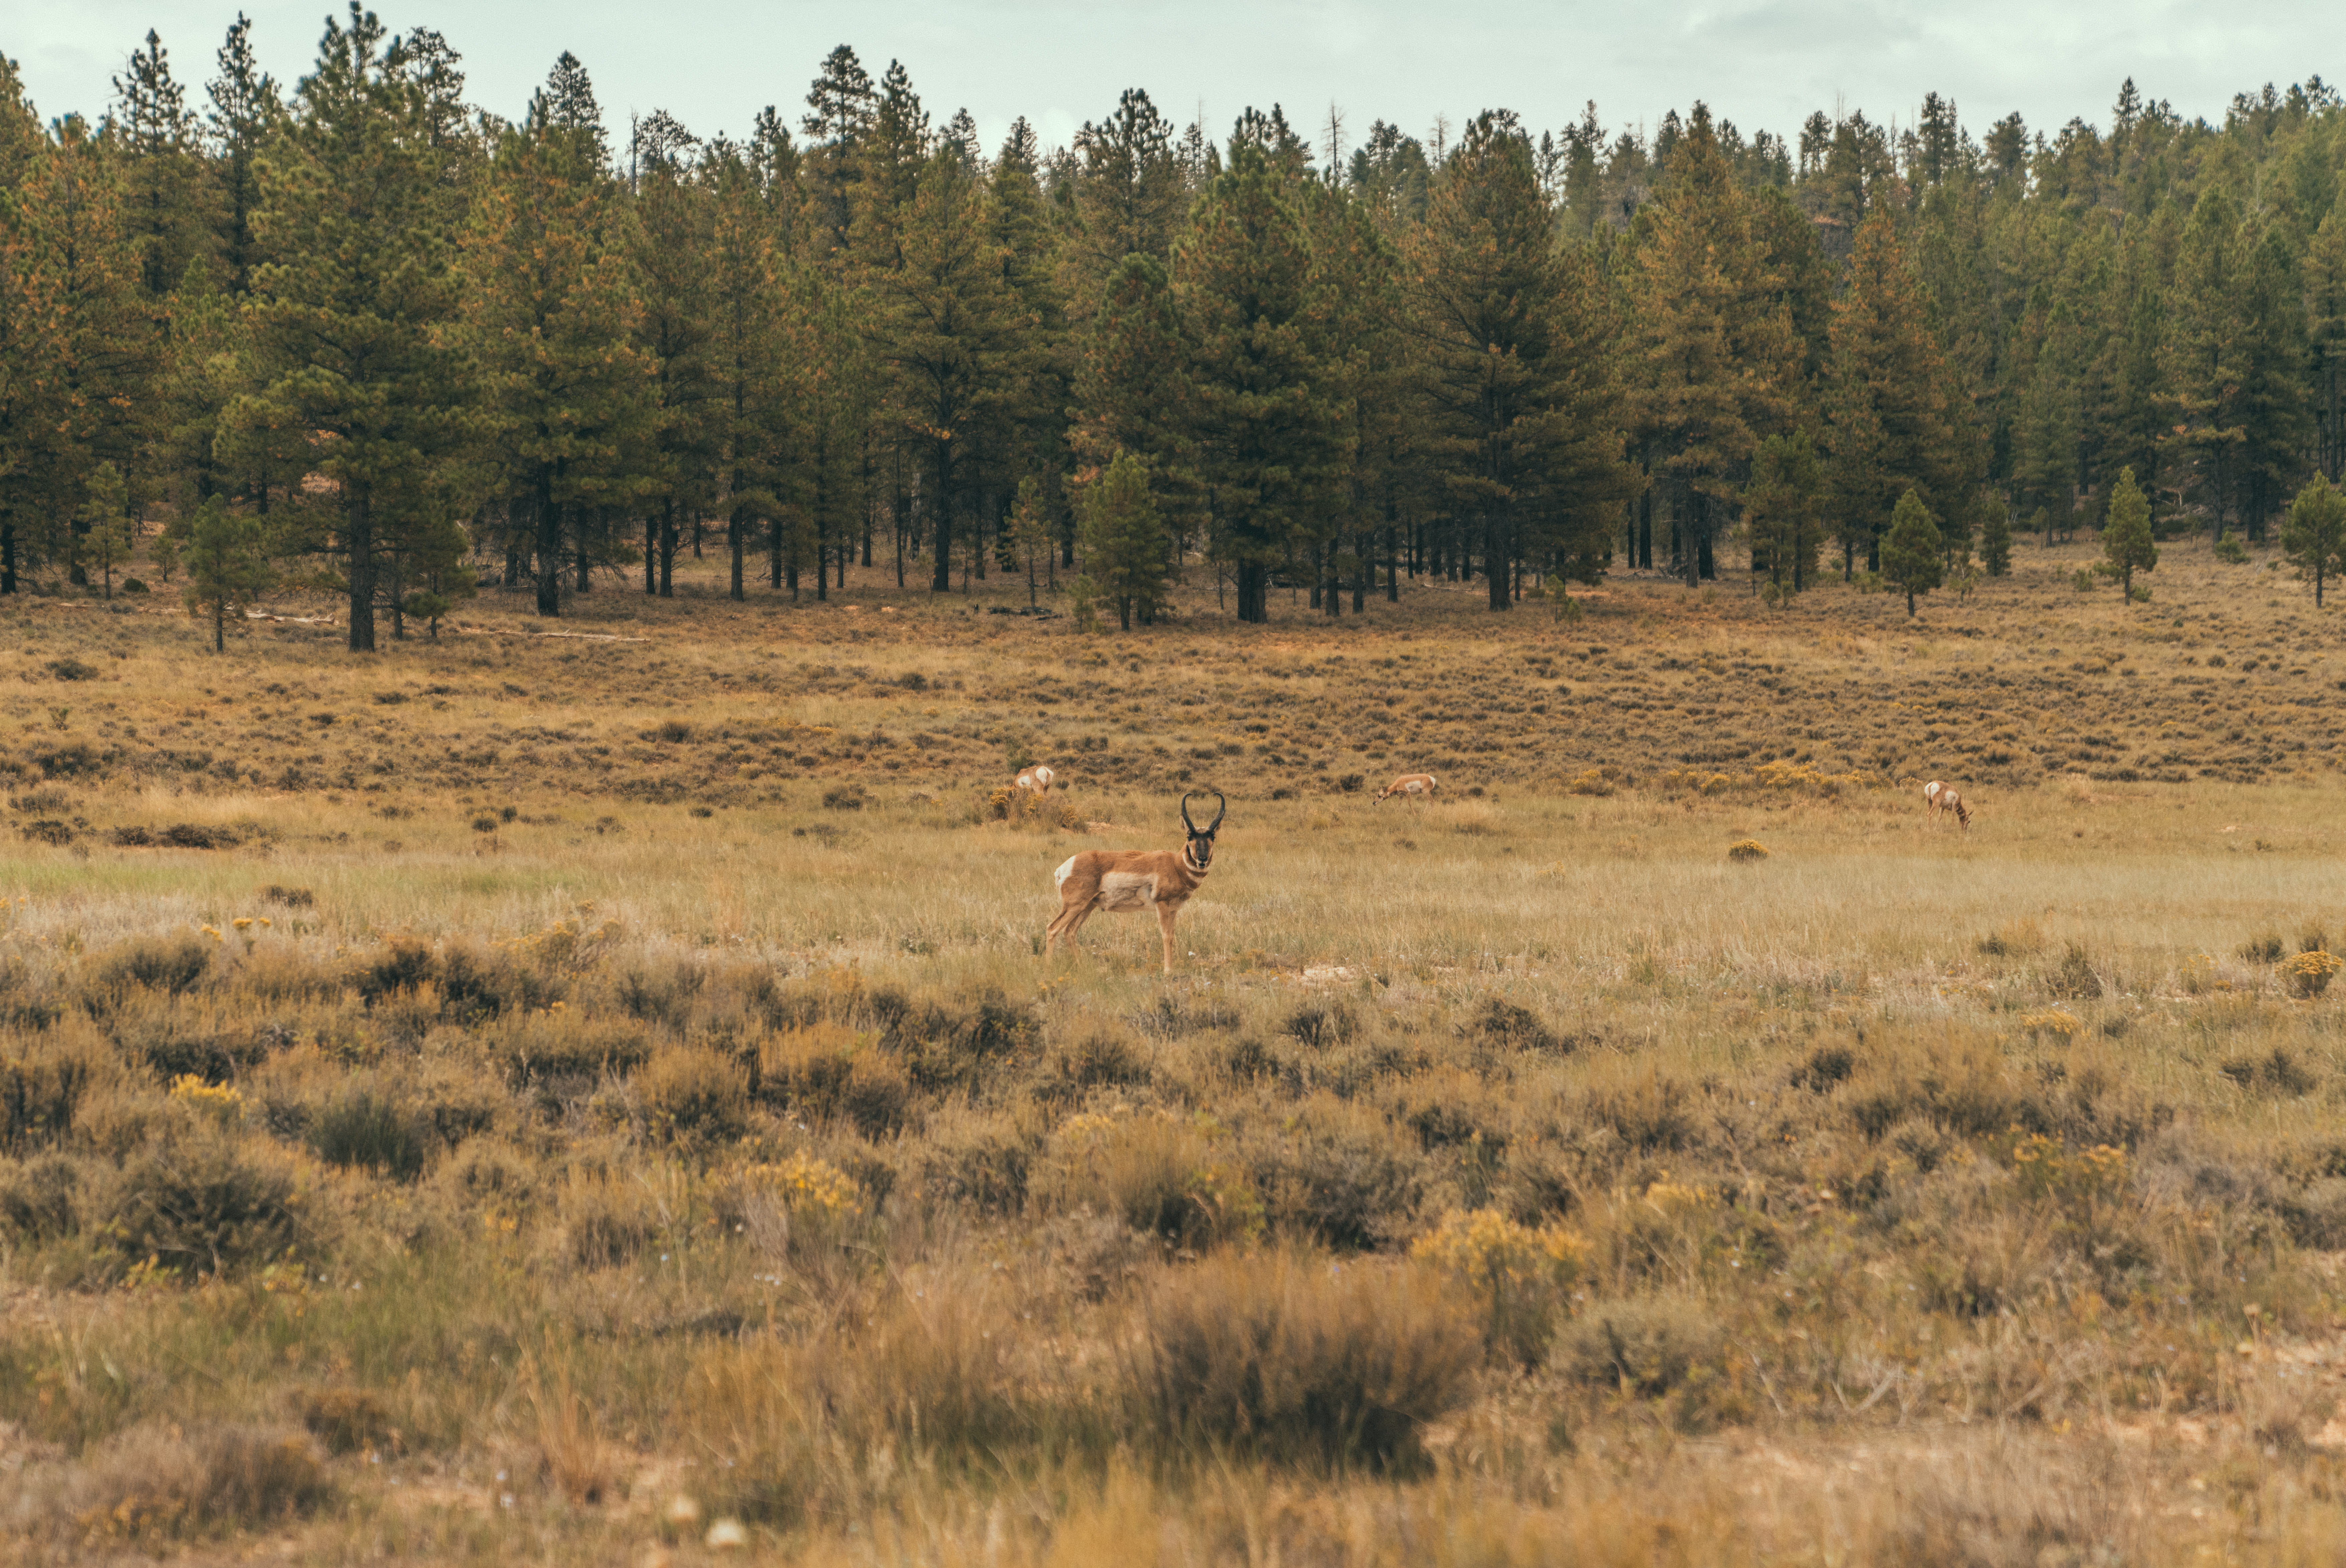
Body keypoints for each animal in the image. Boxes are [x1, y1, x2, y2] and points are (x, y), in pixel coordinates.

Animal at [1045, 791, 1224, 975]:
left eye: (1213, 836)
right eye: (1190, 836)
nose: (1202, 859)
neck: (1175, 865)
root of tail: (1065, 867)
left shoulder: (1174, 909)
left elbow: (1172, 936)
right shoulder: (1162, 906)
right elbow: (1166, 936)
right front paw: (1168, 971)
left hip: (1088, 906)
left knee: (1070, 932)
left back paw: (1082, 967)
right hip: (1075, 906)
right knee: (1052, 928)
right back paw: (1049, 968)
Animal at [1373, 772, 1437, 804]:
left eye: (1379, 796)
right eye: (1376, 794)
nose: (1374, 803)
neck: (1397, 785)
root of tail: (1431, 778)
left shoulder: (1408, 794)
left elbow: (1409, 804)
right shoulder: (1401, 796)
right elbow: (1399, 804)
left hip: (1425, 793)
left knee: (1430, 801)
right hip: (1428, 793)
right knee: (1432, 801)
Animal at [1922, 780, 1971, 831]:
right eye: (1968, 822)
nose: (1965, 831)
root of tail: (1932, 784)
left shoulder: (1943, 807)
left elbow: (1940, 817)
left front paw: (1935, 829)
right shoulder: (1954, 807)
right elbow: (1953, 817)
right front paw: (1953, 829)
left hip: (1929, 801)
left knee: (1928, 813)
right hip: (1936, 804)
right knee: (1930, 814)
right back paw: (1929, 829)